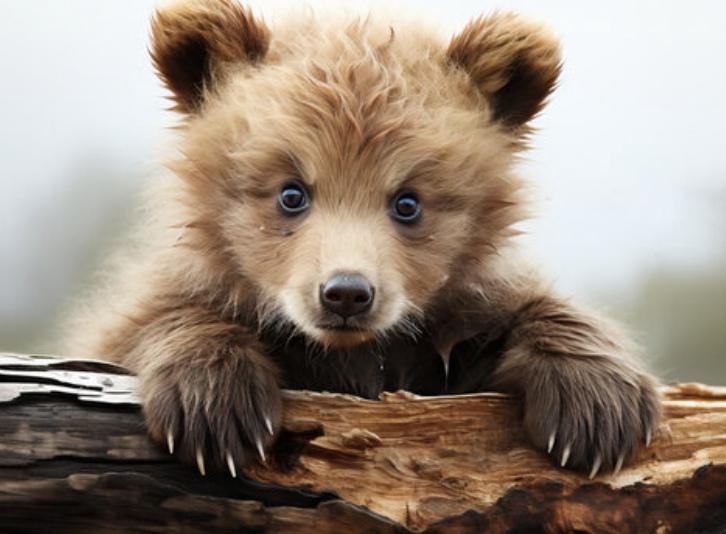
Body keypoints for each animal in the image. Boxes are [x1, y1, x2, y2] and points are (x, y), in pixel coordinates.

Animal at [67, 0, 661, 480]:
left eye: (407, 202)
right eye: (292, 193)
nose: (347, 293)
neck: (352, 356)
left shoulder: (447, 332)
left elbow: (529, 311)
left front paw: (598, 407)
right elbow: (151, 320)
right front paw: (215, 407)